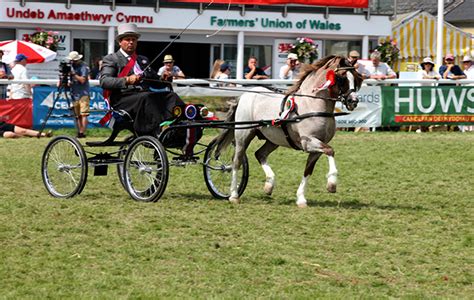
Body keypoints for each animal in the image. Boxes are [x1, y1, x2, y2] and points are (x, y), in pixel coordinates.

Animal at [215, 55, 362, 207]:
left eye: (356, 78)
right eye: (342, 77)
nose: (353, 101)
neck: (312, 105)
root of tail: (244, 96)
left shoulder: (316, 148)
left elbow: (308, 170)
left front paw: (301, 198)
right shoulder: (308, 142)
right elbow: (330, 150)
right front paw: (332, 183)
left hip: (273, 140)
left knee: (260, 154)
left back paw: (269, 185)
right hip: (243, 137)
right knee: (236, 162)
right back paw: (233, 195)